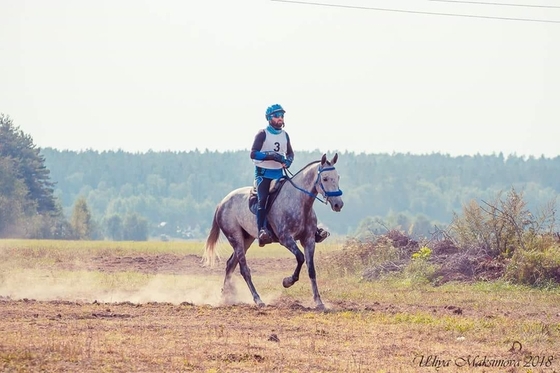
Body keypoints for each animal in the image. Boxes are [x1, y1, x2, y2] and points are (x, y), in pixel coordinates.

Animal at [201, 153, 342, 310]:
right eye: (325, 178)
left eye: (337, 177)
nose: (338, 204)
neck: (299, 201)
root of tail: (222, 203)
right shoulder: (286, 238)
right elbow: (300, 258)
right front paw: (287, 281)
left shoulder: (309, 240)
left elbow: (311, 269)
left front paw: (318, 302)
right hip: (235, 238)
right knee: (244, 269)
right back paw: (258, 300)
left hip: (246, 239)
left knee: (230, 264)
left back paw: (225, 297)